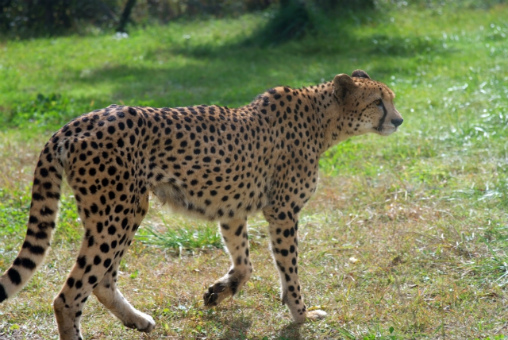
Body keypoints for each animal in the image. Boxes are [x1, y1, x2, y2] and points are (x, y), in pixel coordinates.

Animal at [1, 70, 402, 338]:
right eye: (377, 102)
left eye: (392, 98)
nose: (398, 120)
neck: (323, 120)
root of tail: (75, 123)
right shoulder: (282, 211)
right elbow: (289, 269)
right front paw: (302, 314)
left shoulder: (233, 209)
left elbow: (245, 263)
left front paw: (218, 292)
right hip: (117, 212)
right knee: (69, 294)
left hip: (121, 211)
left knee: (100, 281)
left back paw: (138, 320)